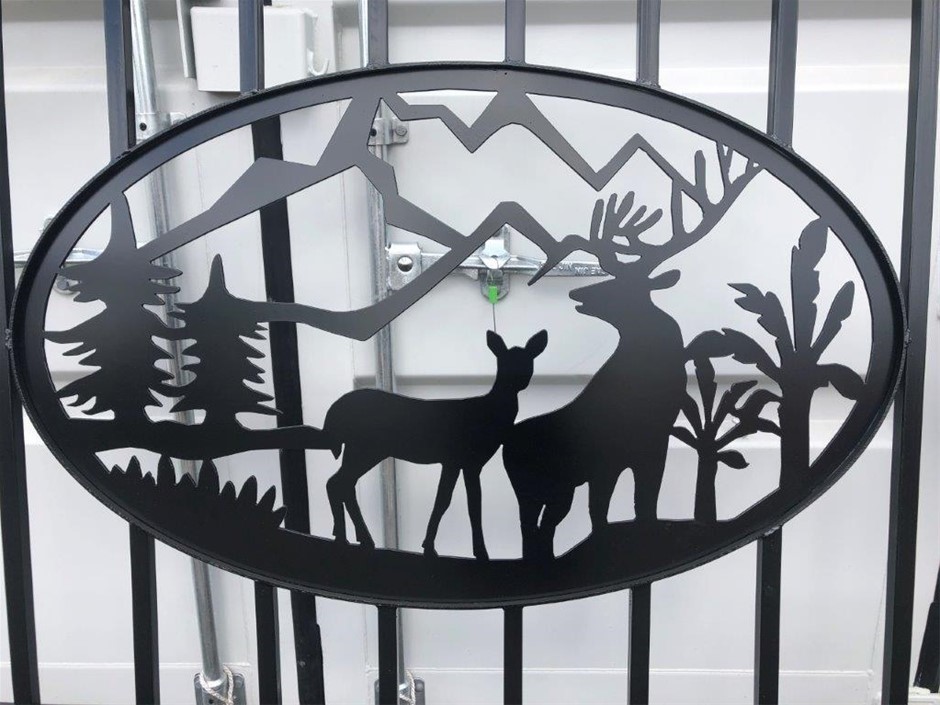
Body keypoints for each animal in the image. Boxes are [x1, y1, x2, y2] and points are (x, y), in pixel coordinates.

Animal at [323, 329, 548, 560]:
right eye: (502, 361)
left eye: (528, 360)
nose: (518, 379)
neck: (487, 414)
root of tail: (334, 412)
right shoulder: (466, 460)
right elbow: (467, 503)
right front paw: (479, 552)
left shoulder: (455, 462)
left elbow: (446, 500)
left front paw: (430, 546)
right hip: (365, 448)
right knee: (337, 483)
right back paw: (351, 538)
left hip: (361, 449)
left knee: (341, 483)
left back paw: (354, 537)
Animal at [503, 144, 761, 559]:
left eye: (624, 285)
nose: (578, 293)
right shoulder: (605, 459)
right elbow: (600, 515)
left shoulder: (654, 445)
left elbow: (645, 505)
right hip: (534, 487)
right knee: (533, 529)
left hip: (555, 490)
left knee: (543, 532)